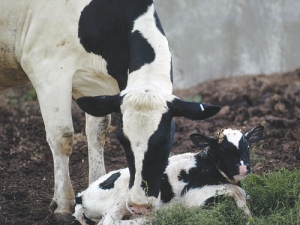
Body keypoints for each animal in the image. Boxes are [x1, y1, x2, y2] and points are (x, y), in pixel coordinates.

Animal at [0, 0, 220, 219]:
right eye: (122, 140)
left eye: (166, 141)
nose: (139, 205)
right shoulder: (48, 70)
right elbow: (62, 137)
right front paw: (63, 203)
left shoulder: (97, 89)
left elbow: (97, 133)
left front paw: (96, 183)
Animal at [74, 125, 264, 224]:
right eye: (223, 150)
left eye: (247, 147)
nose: (243, 168)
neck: (205, 164)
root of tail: (81, 194)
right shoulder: (192, 196)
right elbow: (236, 191)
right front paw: (249, 217)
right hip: (121, 201)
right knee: (111, 222)